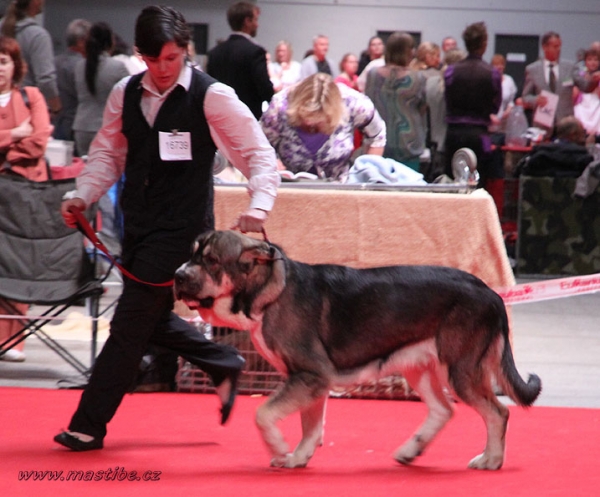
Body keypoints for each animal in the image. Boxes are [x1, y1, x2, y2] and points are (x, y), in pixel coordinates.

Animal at [173, 229, 544, 468]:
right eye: (191, 255)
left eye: (211, 260)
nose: (177, 275)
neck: (270, 292)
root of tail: (492, 294)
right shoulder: (312, 381)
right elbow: (311, 425)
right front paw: (299, 457)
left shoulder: (310, 375)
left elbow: (264, 414)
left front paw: (279, 449)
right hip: (419, 367)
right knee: (443, 410)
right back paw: (411, 451)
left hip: (461, 370)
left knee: (498, 412)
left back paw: (491, 459)